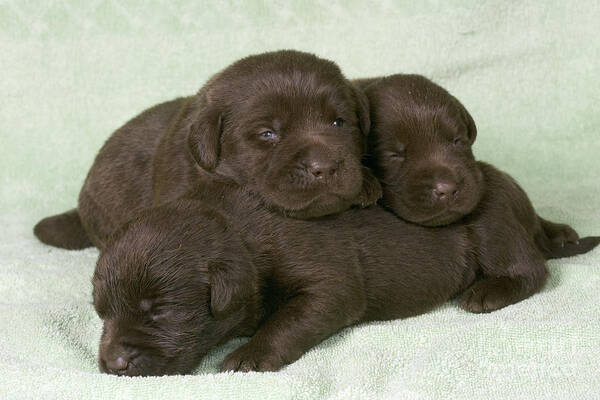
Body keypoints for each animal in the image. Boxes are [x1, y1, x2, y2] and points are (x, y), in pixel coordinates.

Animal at [94, 177, 478, 376]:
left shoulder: (323, 278)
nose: (113, 363)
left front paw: (250, 354)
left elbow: (289, 319)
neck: (240, 233)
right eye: (102, 313)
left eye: (159, 312)